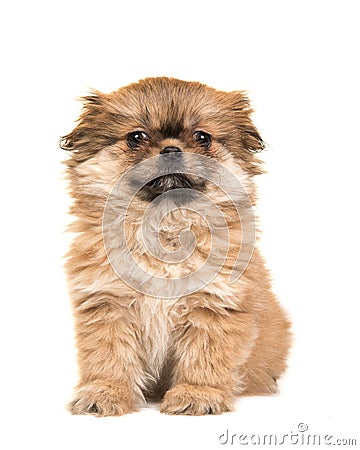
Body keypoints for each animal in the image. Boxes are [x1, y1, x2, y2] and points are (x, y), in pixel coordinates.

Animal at [60, 76, 292, 414]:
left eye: (202, 137)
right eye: (136, 137)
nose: (171, 149)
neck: (165, 228)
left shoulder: (213, 305)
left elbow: (204, 357)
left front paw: (198, 394)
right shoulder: (108, 304)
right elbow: (109, 356)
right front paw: (105, 392)